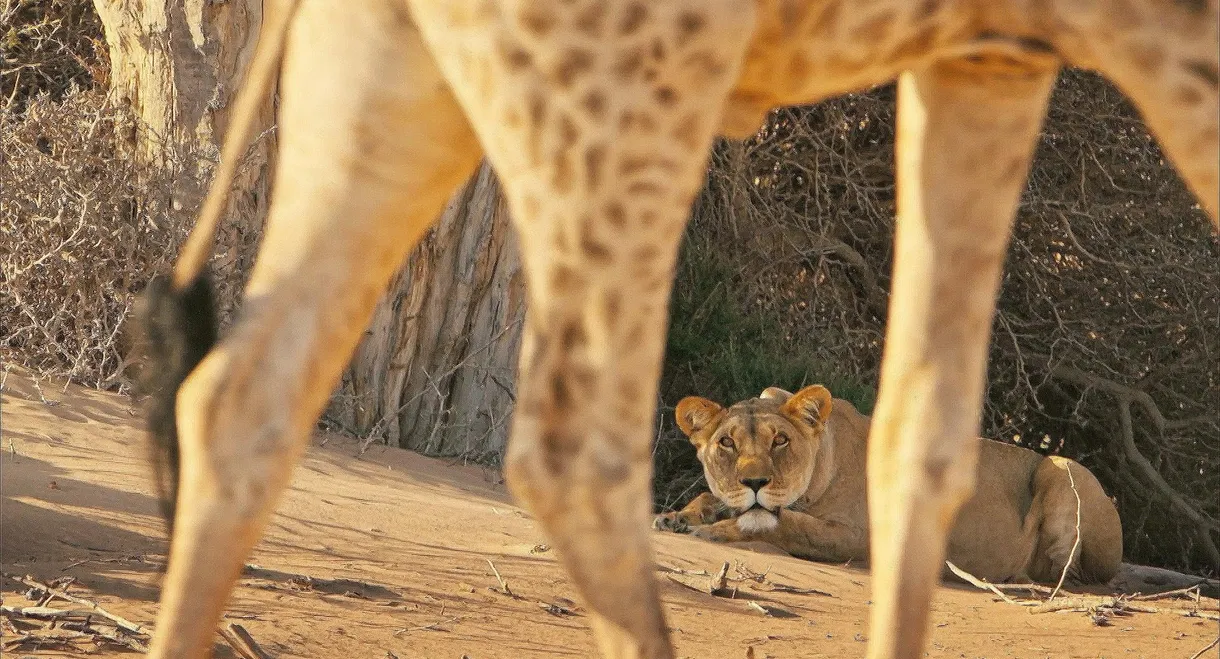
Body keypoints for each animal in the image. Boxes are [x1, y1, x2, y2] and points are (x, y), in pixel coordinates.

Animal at [655, 385, 1123, 585]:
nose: (754, 481)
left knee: (1069, 574)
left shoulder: (862, 536)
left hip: (1061, 468)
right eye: (727, 443)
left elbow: (786, 524)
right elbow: (717, 499)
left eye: (780, 440)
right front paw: (678, 516)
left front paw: (712, 530)